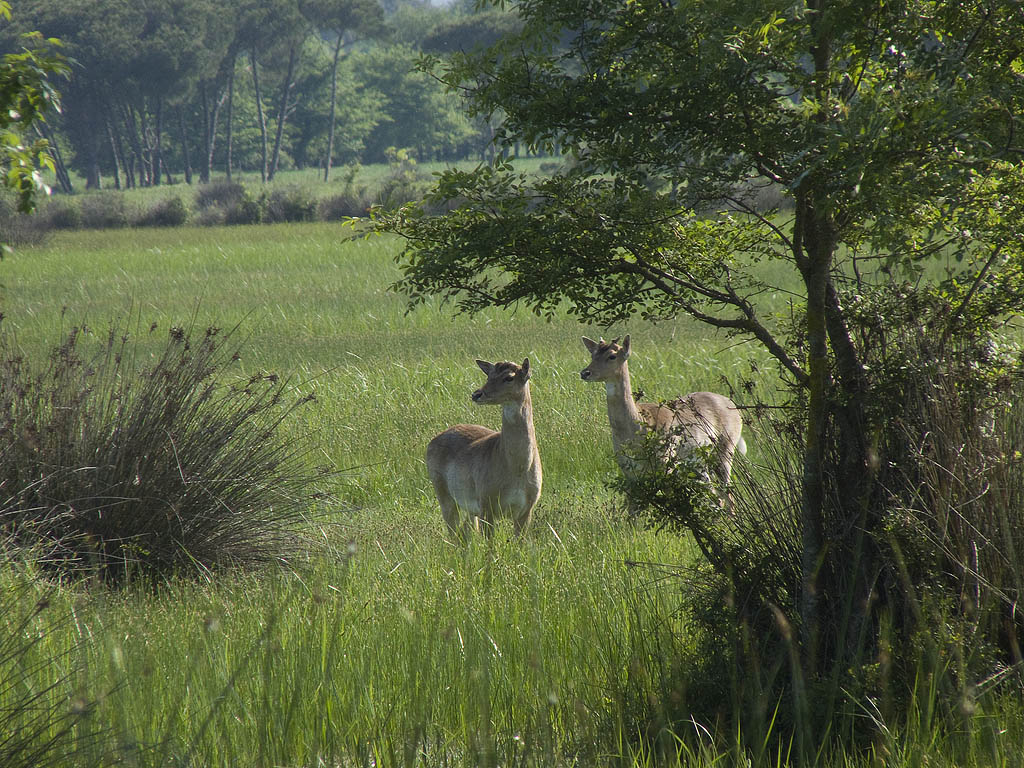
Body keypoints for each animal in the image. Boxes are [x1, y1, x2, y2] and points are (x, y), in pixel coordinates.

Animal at [425, 360, 544, 536]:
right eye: (489, 375)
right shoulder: (486, 503)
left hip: (469, 507)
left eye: (509, 377)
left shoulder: (527, 508)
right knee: (454, 534)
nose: (476, 394)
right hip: (443, 493)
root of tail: (431, 442)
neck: (518, 469)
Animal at [581, 335, 749, 512]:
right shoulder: (628, 470)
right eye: (592, 354)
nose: (585, 372)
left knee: (728, 495)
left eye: (612, 356)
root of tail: (735, 408)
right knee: (716, 496)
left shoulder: (666, 462)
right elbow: (632, 511)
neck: (637, 427)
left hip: (725, 447)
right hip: (699, 462)